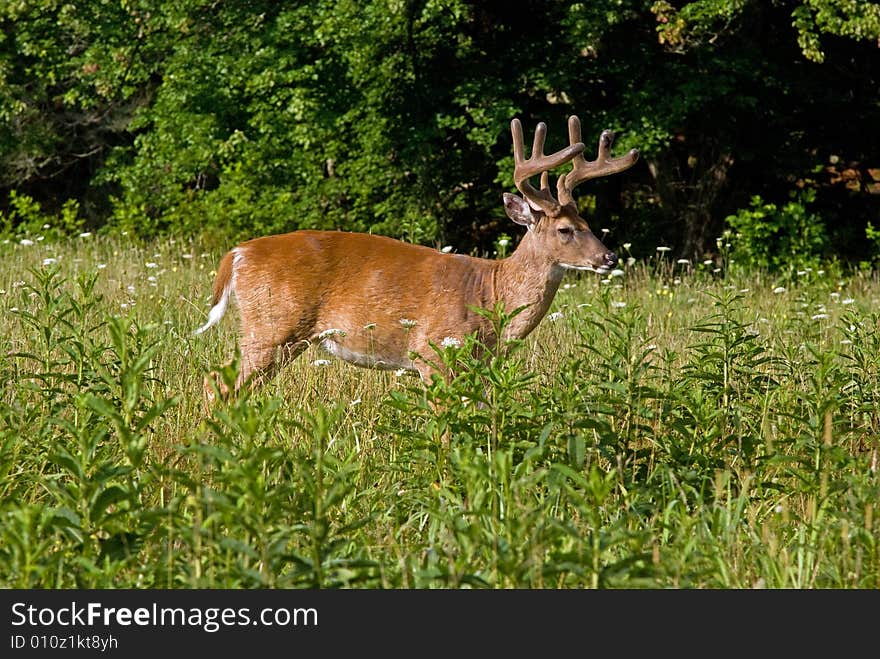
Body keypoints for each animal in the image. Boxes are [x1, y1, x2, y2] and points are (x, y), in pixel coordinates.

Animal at [194, 116, 640, 404]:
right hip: (271, 326)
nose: (608, 257)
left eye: (587, 222)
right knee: (217, 383)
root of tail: (237, 254)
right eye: (565, 229)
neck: (491, 295)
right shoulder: (433, 354)